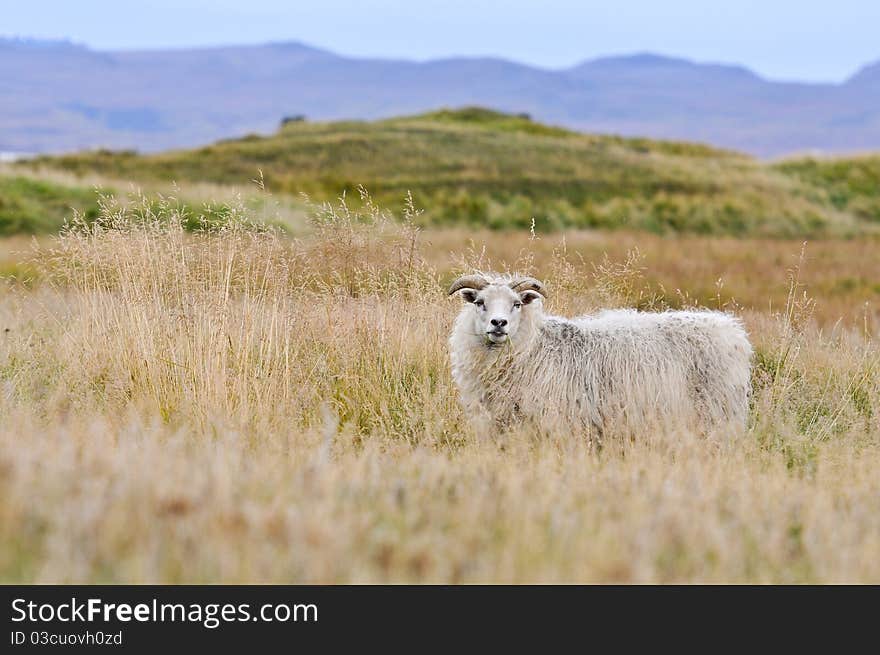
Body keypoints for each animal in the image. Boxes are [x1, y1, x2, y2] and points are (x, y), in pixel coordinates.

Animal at [450, 272, 752, 440]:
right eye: (480, 302)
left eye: (516, 304)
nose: (498, 323)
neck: (535, 346)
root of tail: (733, 332)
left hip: (719, 411)